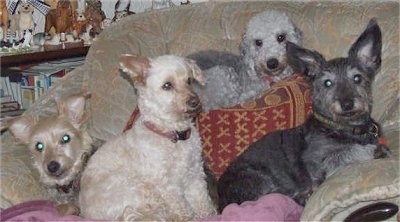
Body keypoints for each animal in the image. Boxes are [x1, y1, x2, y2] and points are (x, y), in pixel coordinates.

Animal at [78, 53, 216, 220]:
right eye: (167, 85)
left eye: (189, 80)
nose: (195, 102)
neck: (171, 135)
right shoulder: (168, 186)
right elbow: (182, 210)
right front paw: (190, 218)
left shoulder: (195, 175)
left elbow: (202, 201)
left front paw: (209, 215)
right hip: (141, 190)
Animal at [217, 19, 392, 212]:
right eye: (328, 83)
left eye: (357, 78)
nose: (347, 104)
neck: (342, 128)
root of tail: (221, 199)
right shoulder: (319, 162)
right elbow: (348, 155)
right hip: (256, 180)